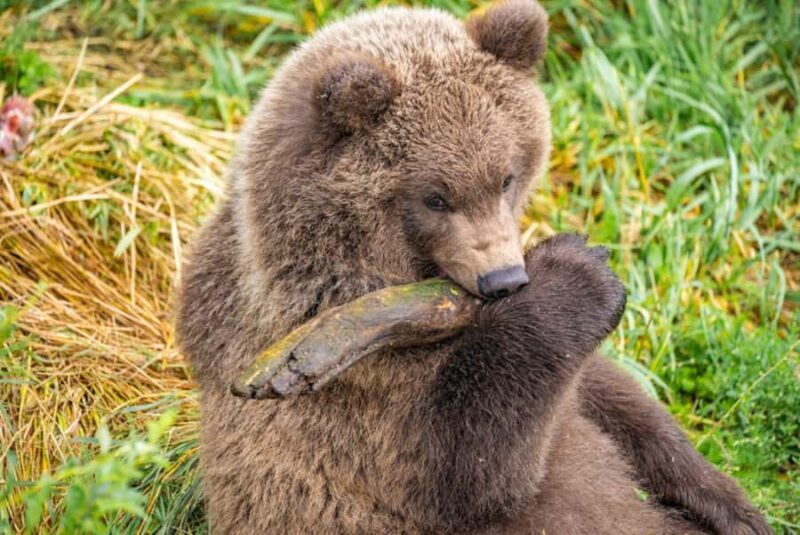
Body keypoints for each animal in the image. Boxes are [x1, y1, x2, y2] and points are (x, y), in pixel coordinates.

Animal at [176, 1, 770, 533]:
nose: (504, 279)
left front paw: (730, 504)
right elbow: (474, 466)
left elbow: (612, 399)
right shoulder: (352, 386)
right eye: (436, 197)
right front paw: (576, 276)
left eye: (506, 176)